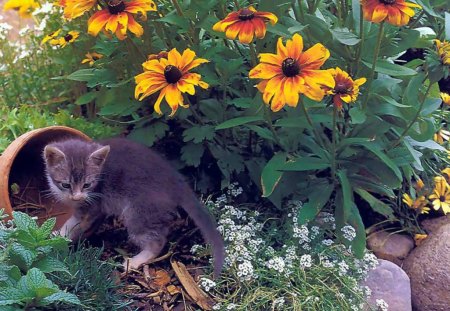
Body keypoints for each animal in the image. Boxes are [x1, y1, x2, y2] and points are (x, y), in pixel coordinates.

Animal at [44, 138, 223, 276]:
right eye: (66, 185)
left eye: (87, 185)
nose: (77, 196)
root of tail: (177, 183)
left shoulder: (92, 205)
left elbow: (73, 224)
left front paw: (57, 236)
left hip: (138, 213)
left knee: (157, 240)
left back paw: (136, 261)